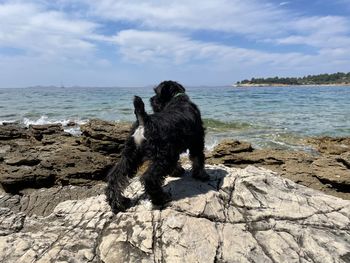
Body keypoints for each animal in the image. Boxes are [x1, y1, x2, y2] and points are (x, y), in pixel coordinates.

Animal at [105, 81, 209, 214]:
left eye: (156, 92)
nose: (152, 99)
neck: (177, 99)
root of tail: (144, 120)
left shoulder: (175, 148)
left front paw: (178, 172)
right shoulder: (196, 141)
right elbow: (198, 158)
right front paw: (201, 175)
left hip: (131, 155)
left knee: (115, 175)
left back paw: (118, 202)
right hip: (163, 157)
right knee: (149, 178)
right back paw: (161, 197)